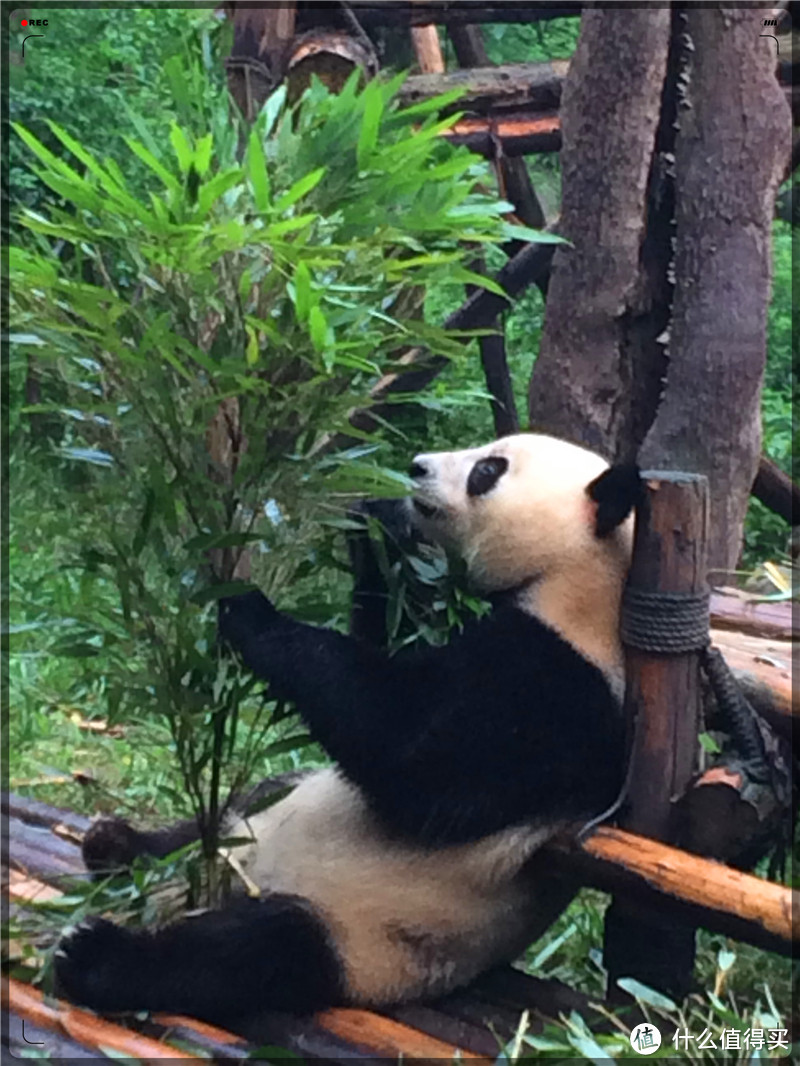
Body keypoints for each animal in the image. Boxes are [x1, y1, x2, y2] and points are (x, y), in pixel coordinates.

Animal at [54, 430, 644, 1031]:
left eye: (488, 470)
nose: (416, 467)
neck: (581, 585)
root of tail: (236, 878)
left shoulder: (567, 691)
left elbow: (418, 760)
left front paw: (245, 609)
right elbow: (386, 649)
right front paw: (378, 524)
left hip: (366, 941)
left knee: (252, 952)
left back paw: (95, 956)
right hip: (265, 811)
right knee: (215, 822)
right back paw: (119, 845)